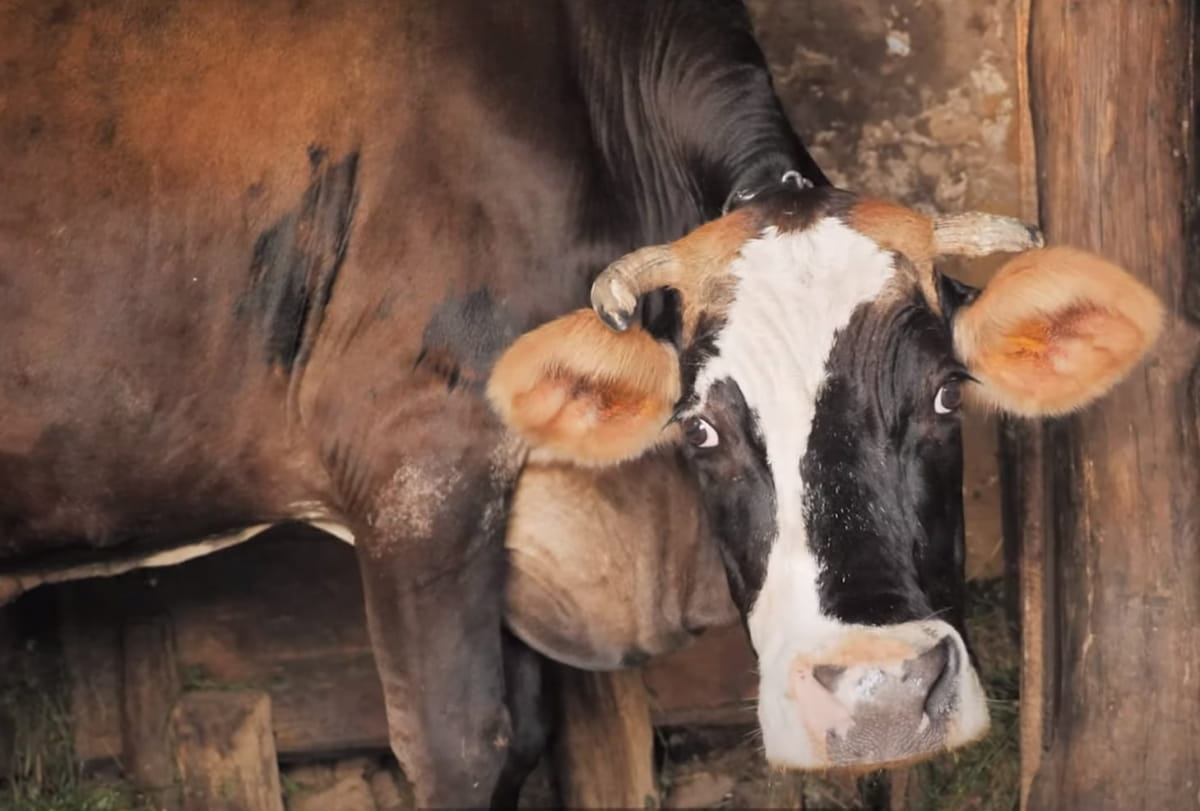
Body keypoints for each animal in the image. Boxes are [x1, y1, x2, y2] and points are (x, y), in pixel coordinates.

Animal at [0, 0, 1163, 807]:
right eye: (702, 426)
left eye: (944, 397)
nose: (875, 696)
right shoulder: (416, 475)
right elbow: (461, 743)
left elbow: (526, 734)